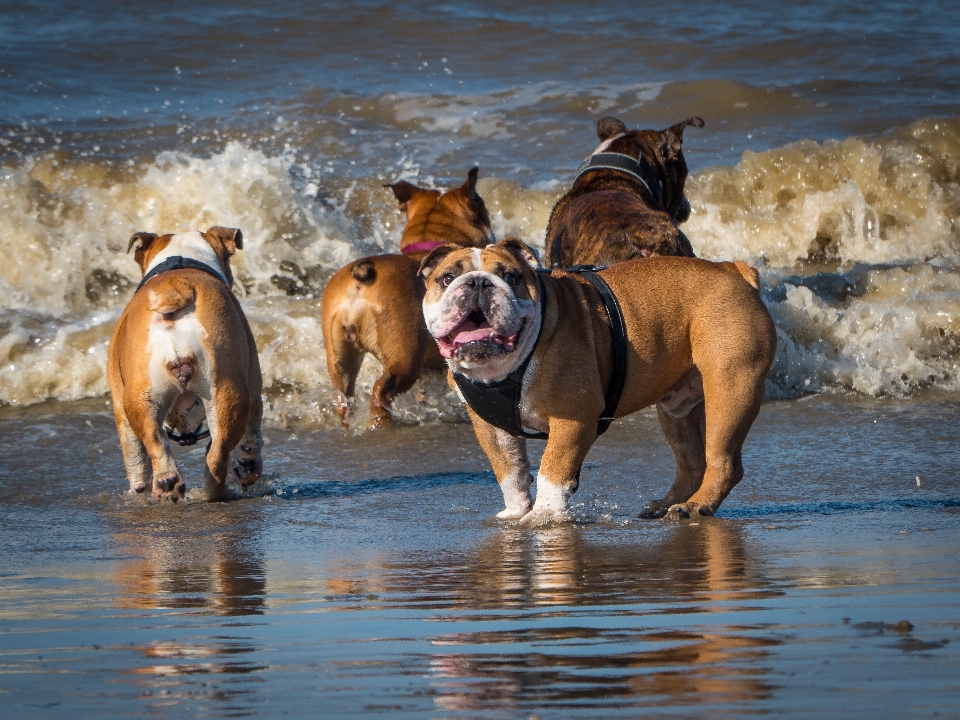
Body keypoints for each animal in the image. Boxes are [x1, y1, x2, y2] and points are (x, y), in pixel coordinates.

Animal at [108, 226, 262, 500]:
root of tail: (175, 287)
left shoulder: (118, 400)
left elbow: (134, 453)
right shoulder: (253, 381)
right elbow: (251, 437)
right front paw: (248, 466)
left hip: (139, 398)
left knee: (154, 442)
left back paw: (167, 483)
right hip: (226, 393)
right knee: (217, 455)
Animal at [422, 240, 780, 524]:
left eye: (511, 277)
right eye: (447, 278)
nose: (478, 283)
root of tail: (732, 269)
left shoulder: (574, 418)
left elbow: (552, 468)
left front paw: (544, 515)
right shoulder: (491, 428)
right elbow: (509, 471)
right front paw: (516, 512)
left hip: (730, 389)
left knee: (723, 462)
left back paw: (696, 507)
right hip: (678, 409)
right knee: (692, 462)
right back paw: (666, 505)